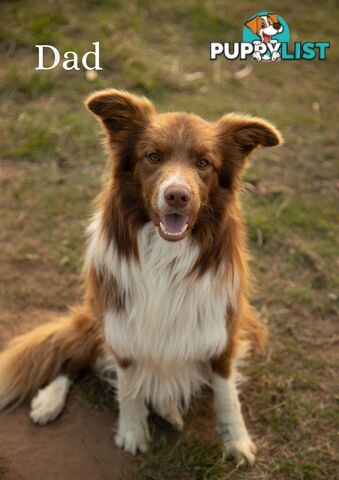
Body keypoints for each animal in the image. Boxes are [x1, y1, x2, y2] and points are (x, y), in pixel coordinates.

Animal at [0, 90, 282, 464]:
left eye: (203, 163)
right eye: (153, 156)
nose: (177, 195)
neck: (167, 257)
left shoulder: (223, 328)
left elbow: (226, 393)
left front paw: (236, 439)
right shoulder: (120, 325)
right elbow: (128, 387)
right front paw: (132, 431)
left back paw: (168, 409)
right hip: (96, 315)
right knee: (74, 356)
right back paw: (49, 400)